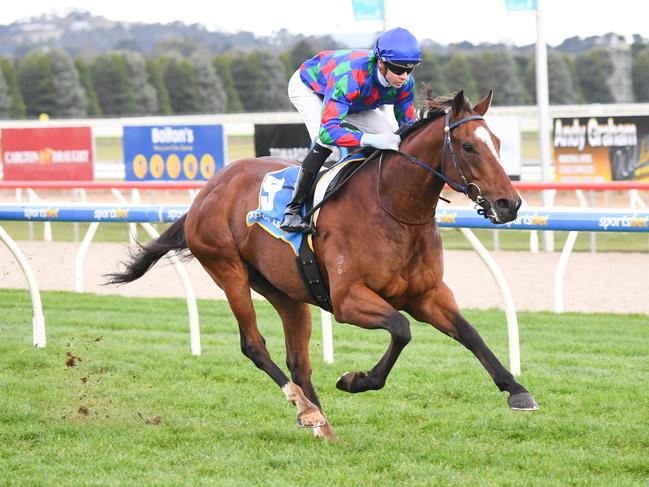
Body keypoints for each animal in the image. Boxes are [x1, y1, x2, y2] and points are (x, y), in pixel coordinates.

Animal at [109, 89, 540, 440]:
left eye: (497, 142)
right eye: (468, 147)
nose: (510, 203)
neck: (395, 209)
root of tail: (208, 190)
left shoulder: (428, 293)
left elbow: (469, 333)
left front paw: (517, 391)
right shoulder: (349, 300)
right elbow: (401, 330)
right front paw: (355, 379)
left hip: (285, 291)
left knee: (298, 359)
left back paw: (320, 421)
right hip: (227, 270)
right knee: (254, 346)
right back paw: (306, 409)